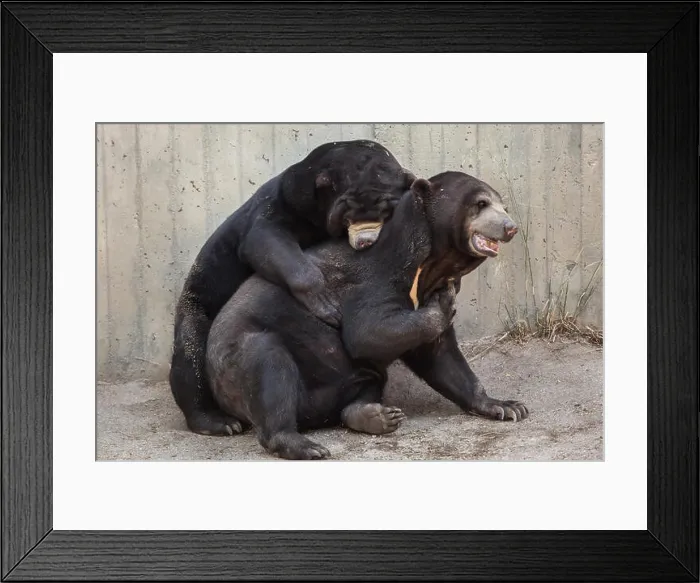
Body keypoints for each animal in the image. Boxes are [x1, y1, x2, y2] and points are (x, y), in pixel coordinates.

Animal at [170, 140, 416, 436]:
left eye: (386, 212)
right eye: (346, 217)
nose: (365, 242)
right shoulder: (283, 203)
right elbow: (265, 239)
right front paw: (325, 304)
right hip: (197, 309)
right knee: (190, 357)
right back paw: (219, 422)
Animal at [205, 171, 528, 460]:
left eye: (503, 206)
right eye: (481, 203)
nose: (510, 227)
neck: (427, 268)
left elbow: (442, 358)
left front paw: (508, 406)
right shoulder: (375, 280)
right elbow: (368, 332)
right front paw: (444, 306)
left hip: (350, 376)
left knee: (366, 385)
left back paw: (376, 416)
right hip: (238, 365)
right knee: (269, 367)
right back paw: (304, 444)